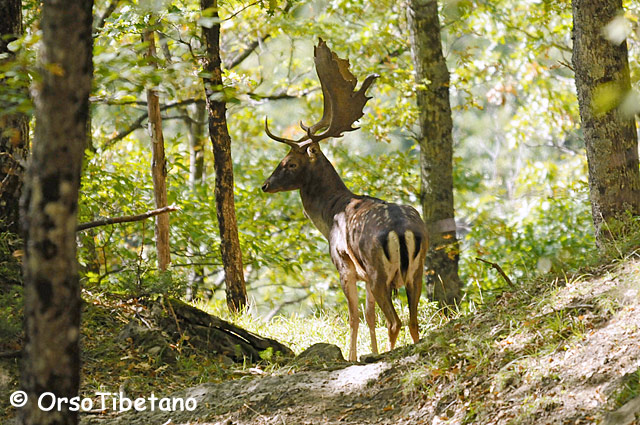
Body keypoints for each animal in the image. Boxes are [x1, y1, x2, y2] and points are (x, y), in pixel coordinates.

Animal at [260, 38, 424, 360]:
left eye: (290, 163)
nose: (265, 185)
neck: (330, 215)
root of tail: (403, 231)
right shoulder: (363, 276)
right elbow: (369, 316)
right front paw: (366, 351)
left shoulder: (344, 266)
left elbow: (354, 317)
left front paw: (352, 357)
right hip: (418, 270)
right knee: (412, 321)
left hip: (377, 269)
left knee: (395, 322)